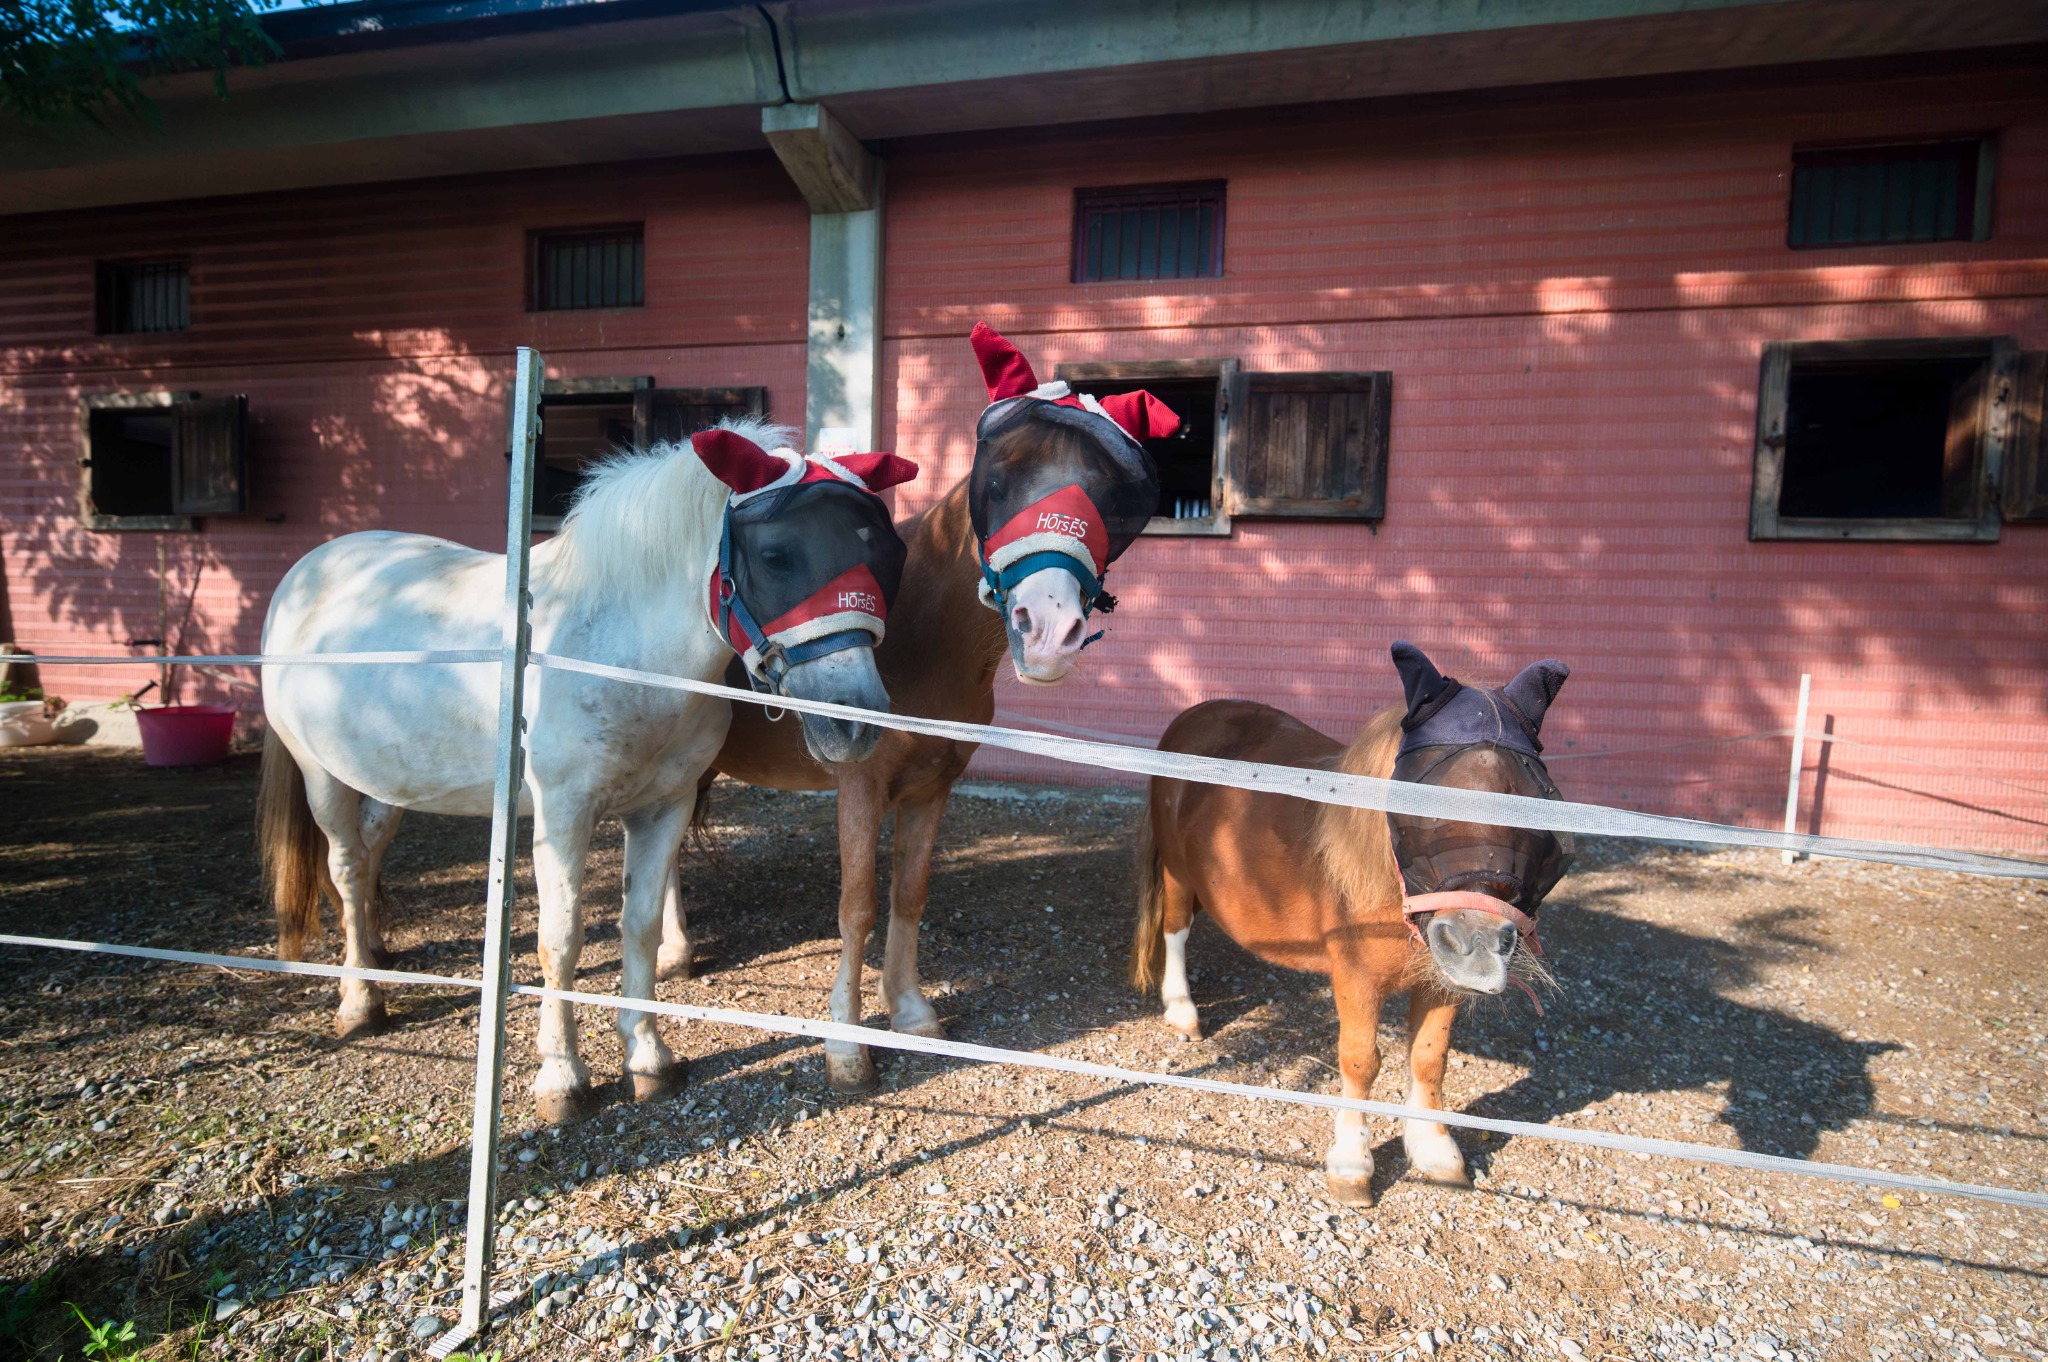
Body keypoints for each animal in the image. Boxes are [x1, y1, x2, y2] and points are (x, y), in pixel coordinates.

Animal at [257, 421, 919, 1123]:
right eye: (776, 555)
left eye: (889, 555)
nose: (856, 722)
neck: (619, 650)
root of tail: (305, 571)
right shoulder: (563, 814)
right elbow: (561, 939)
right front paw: (562, 1076)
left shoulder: (664, 808)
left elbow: (641, 926)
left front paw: (648, 1057)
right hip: (322, 775)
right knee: (347, 867)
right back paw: (360, 999)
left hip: (390, 777)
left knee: (371, 850)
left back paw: (379, 953)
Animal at [660, 322, 1178, 1091]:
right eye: (996, 481)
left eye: (1115, 502)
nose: (1047, 631)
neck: (917, 638)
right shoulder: (861, 782)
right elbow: (857, 906)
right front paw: (846, 1045)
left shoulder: (933, 787)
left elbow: (910, 893)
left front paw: (908, 1010)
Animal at [1131, 641, 1574, 1205]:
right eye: (1419, 801)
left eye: (1539, 804)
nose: (1475, 946)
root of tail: (1194, 717)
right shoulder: (1356, 980)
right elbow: (1362, 1061)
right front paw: (1352, 1163)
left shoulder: (1440, 985)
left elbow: (1429, 1058)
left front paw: (1435, 1151)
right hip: (1176, 871)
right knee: (1176, 929)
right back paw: (1182, 1010)